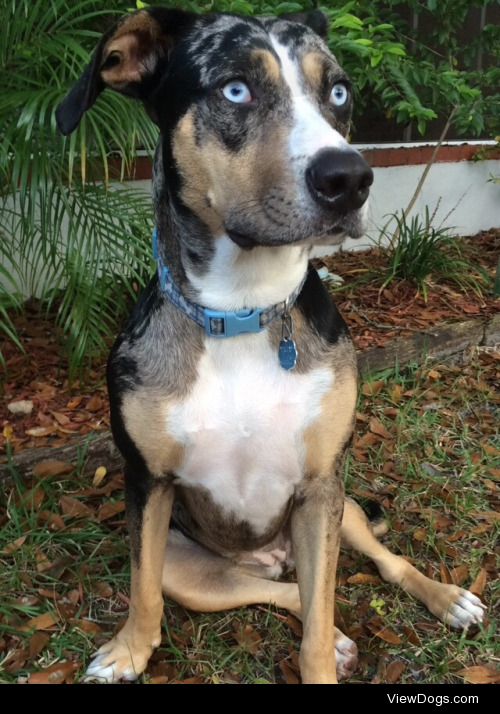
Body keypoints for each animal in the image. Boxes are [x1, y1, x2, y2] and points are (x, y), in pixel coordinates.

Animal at [56, 6, 486, 684]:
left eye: (338, 93)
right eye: (236, 89)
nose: (350, 178)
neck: (242, 312)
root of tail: (270, 555)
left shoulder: (319, 485)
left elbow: (318, 617)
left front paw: (323, 661)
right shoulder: (146, 485)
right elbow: (143, 589)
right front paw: (129, 650)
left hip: (343, 509)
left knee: (372, 565)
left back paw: (446, 598)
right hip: (194, 568)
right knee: (281, 591)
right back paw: (334, 629)